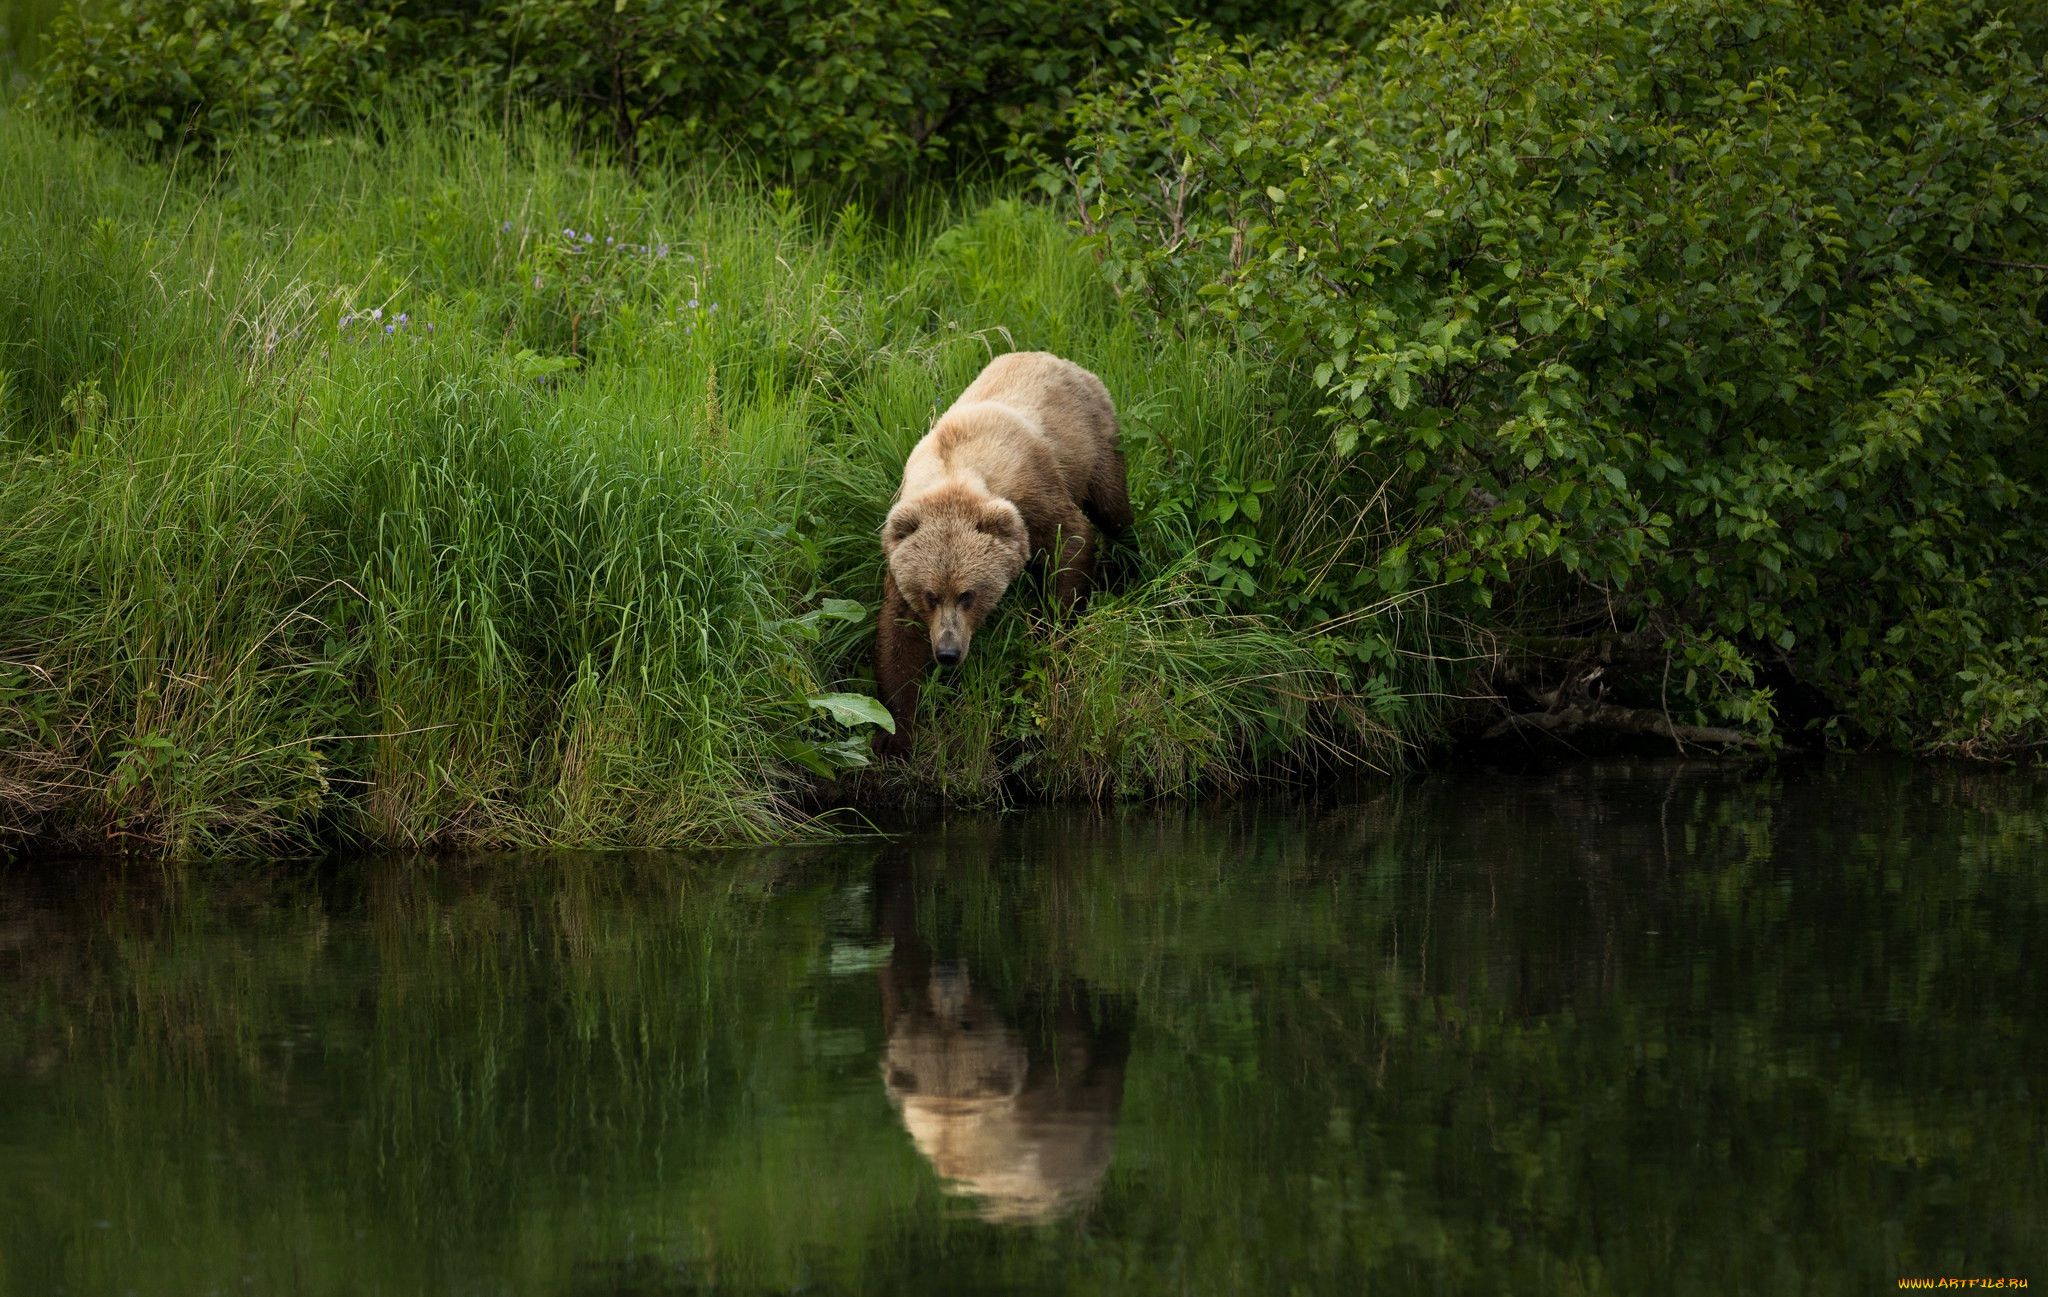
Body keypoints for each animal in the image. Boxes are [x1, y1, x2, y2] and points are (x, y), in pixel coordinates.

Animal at [876, 348, 1138, 754]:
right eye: (930, 595)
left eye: (967, 594)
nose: (948, 652)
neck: (956, 474)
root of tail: (1059, 358)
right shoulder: (903, 538)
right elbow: (898, 635)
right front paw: (896, 732)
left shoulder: (1031, 492)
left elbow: (1071, 540)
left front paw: (1051, 631)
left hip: (1096, 439)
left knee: (1113, 509)